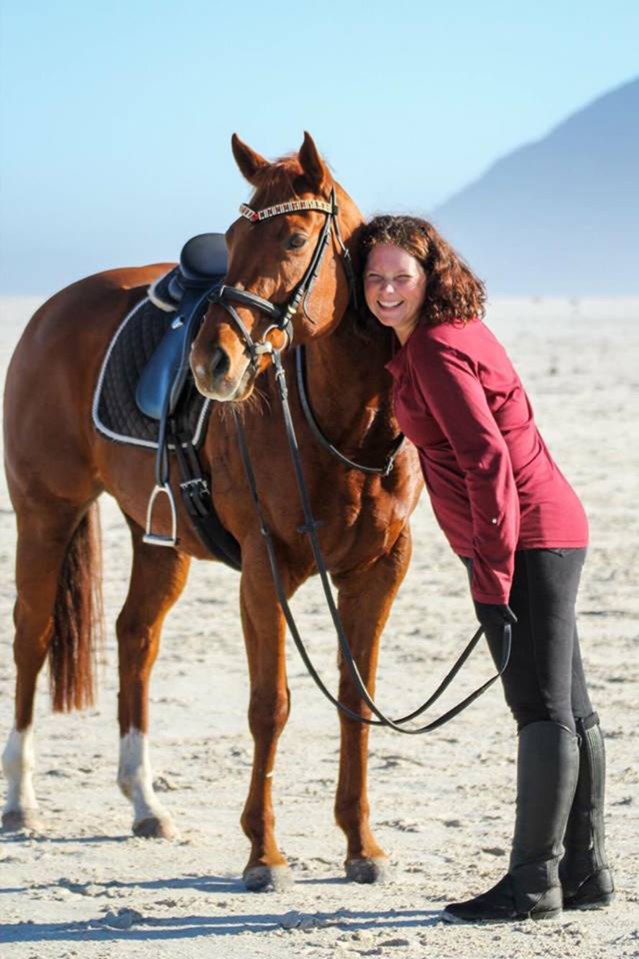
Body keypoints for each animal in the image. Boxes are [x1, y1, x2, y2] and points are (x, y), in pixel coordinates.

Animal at [5, 135, 428, 892]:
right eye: (229, 240)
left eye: (294, 237)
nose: (212, 364)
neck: (342, 424)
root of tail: (51, 309)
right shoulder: (265, 569)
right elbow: (270, 706)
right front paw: (264, 854)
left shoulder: (379, 570)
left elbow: (357, 701)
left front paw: (361, 846)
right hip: (45, 513)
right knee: (33, 636)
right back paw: (21, 800)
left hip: (157, 537)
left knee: (135, 636)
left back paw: (145, 802)